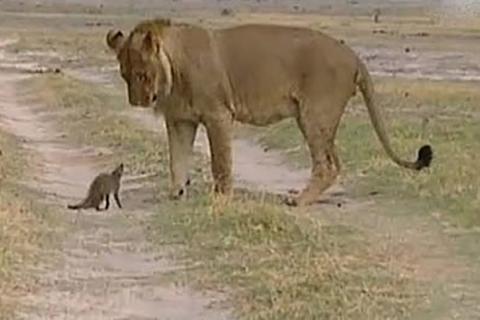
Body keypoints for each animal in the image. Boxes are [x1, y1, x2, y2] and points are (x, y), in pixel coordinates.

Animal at [106, 18, 436, 206]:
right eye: (125, 75)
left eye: (143, 75)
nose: (137, 102)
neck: (172, 72)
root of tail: (354, 55)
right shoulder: (180, 121)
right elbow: (177, 160)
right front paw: (174, 193)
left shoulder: (217, 115)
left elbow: (220, 162)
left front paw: (221, 198)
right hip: (315, 118)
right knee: (334, 162)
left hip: (315, 114)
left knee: (326, 164)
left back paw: (299, 201)